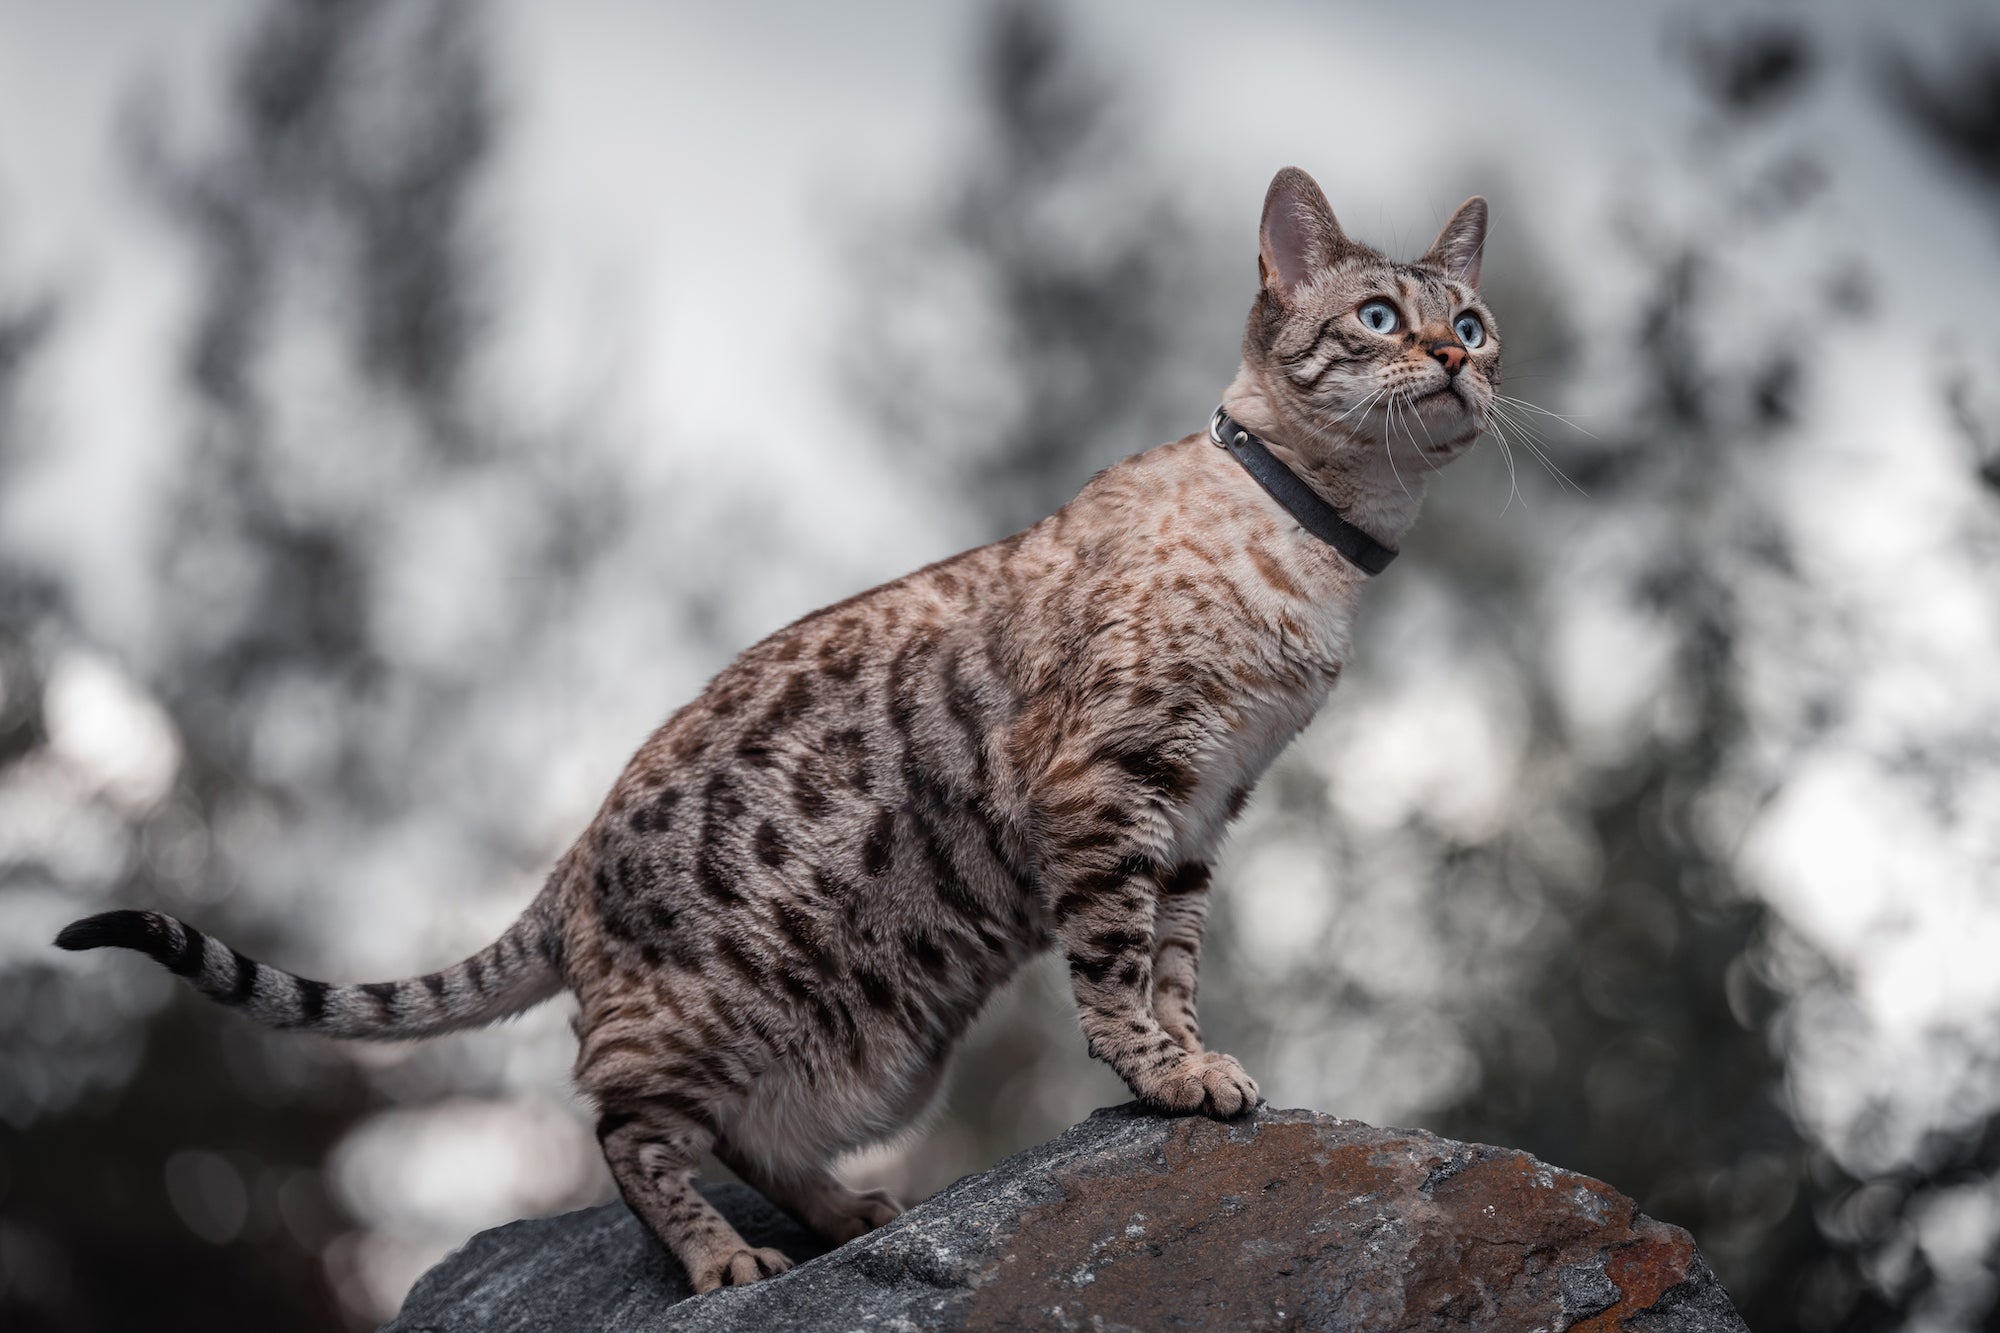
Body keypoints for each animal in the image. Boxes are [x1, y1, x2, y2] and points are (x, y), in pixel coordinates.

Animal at [54, 166, 1504, 1288]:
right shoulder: (1111, 784)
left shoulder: (1203, 807)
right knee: (622, 1121)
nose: (1452, 361)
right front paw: (1166, 1078)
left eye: (1477, 324)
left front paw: (1200, 1062)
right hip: (707, 1017)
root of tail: (566, 870)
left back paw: (843, 1211)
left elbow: (1175, 961)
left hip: (878, 1049)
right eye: (1380, 317)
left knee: (743, 1128)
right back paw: (723, 1259)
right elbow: (1115, 971)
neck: (1320, 548)